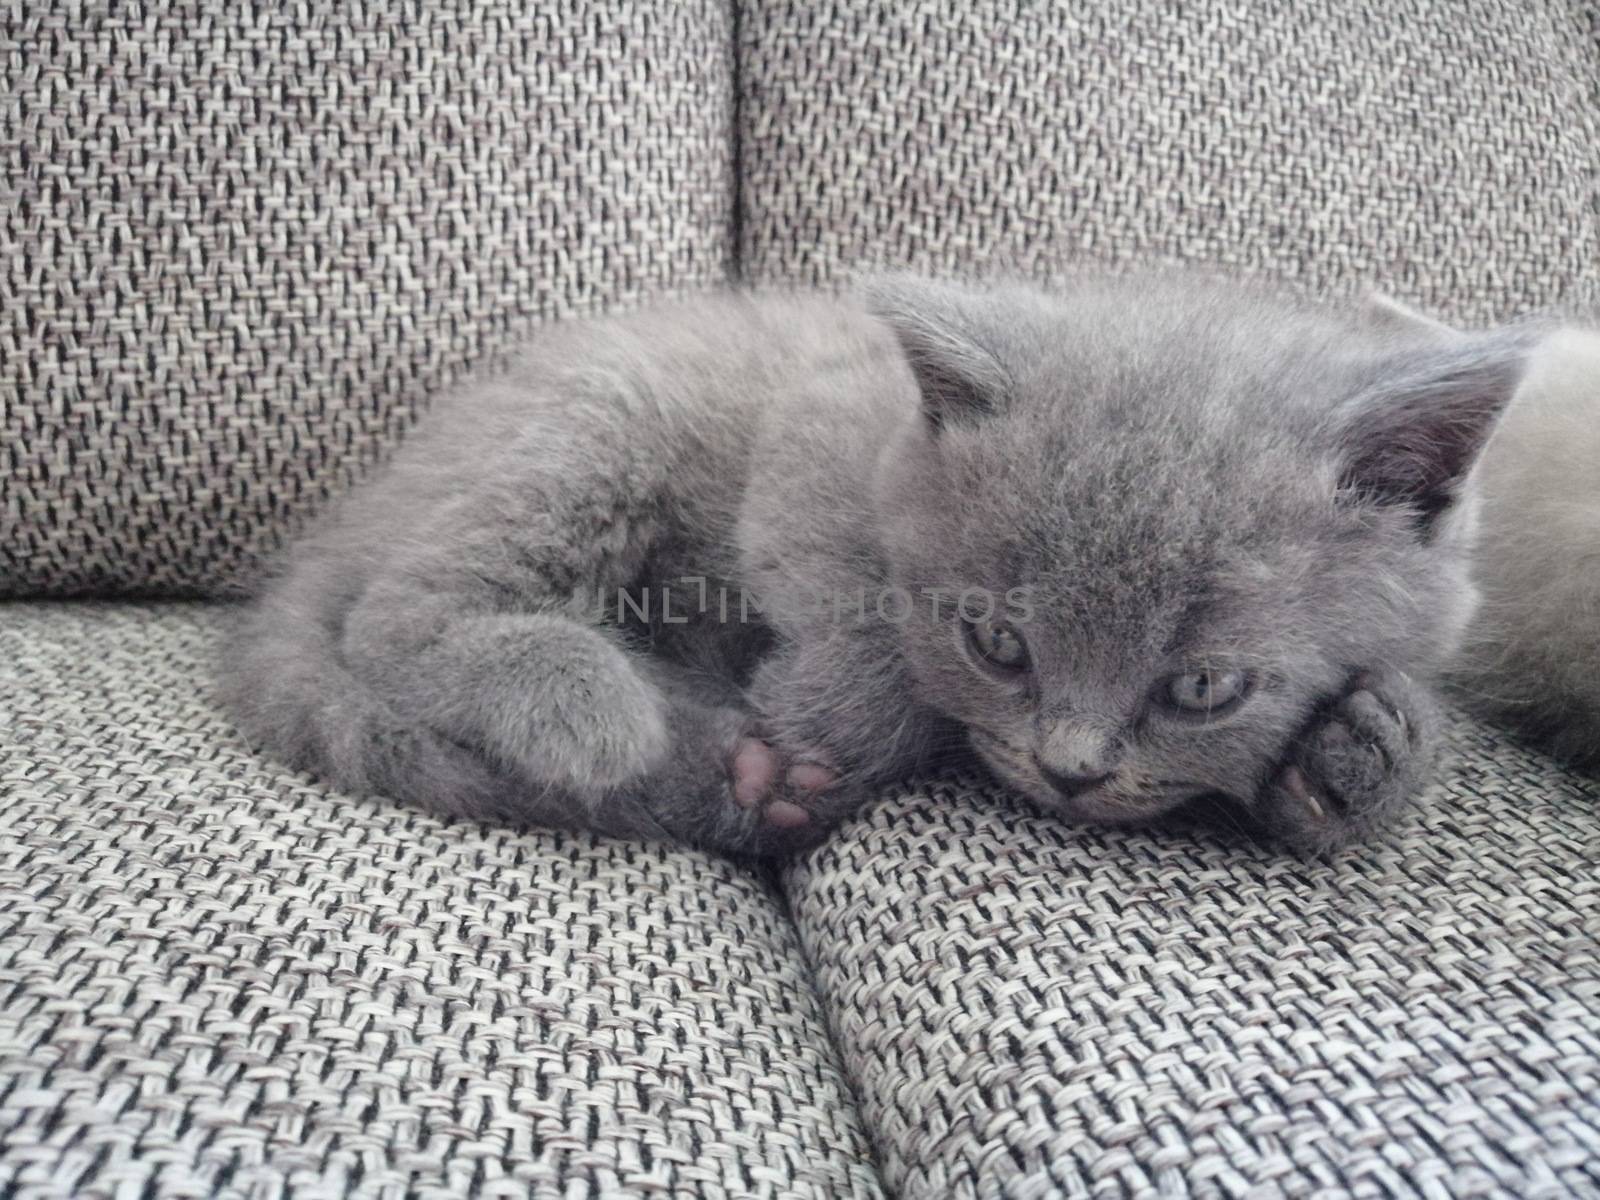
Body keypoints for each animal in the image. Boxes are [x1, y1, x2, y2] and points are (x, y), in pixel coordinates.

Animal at [219, 272, 1529, 857]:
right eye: (998, 644)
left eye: (1202, 687)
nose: (1073, 773)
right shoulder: (819, 420)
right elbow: (848, 597)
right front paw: (825, 720)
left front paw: (1362, 753)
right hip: (593, 426)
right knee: (396, 616)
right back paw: (600, 708)